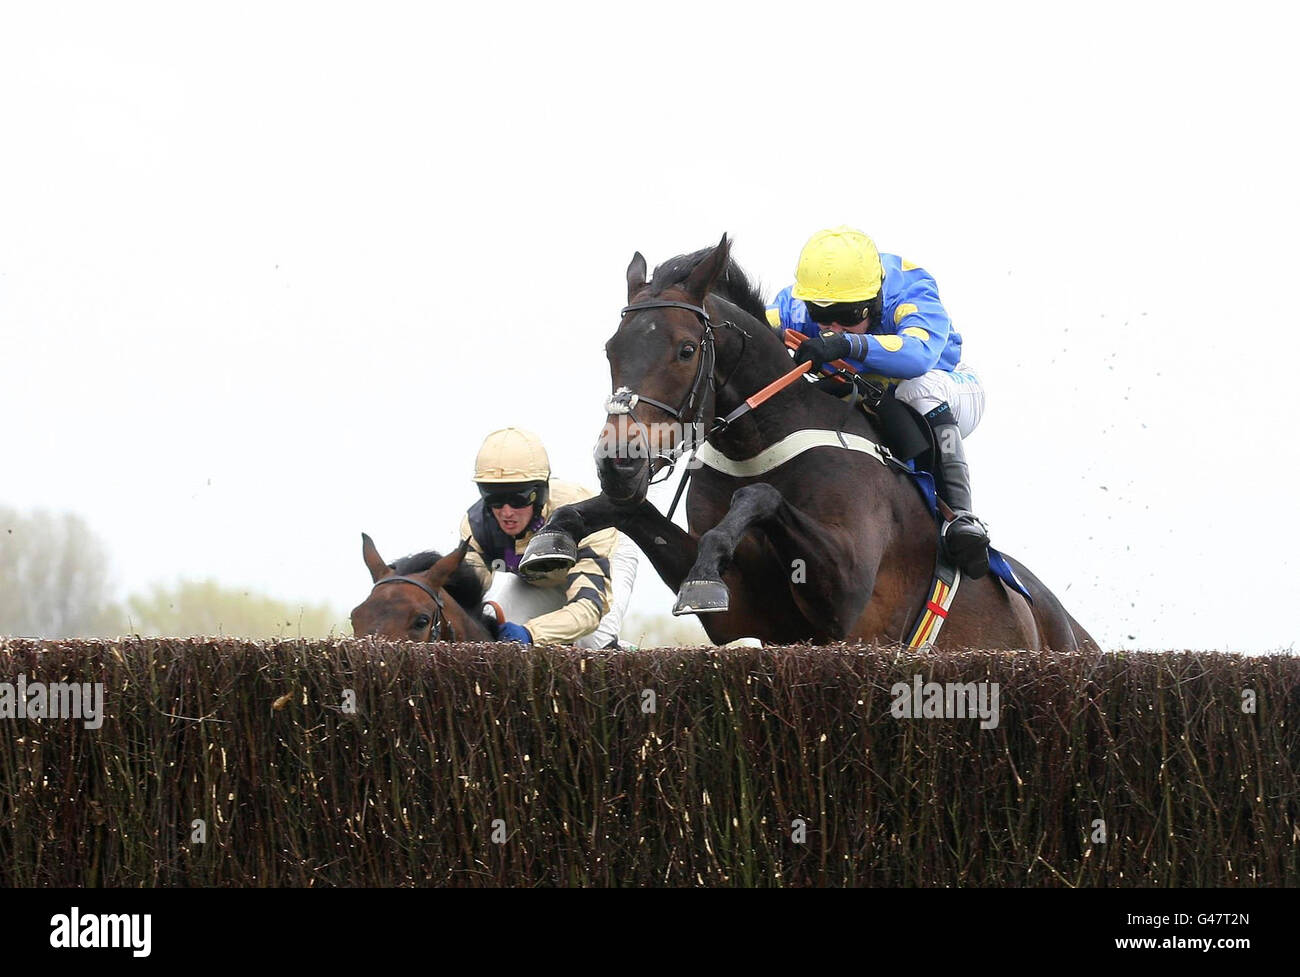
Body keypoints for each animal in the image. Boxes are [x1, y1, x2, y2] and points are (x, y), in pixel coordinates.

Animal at [517, 233, 1097, 652]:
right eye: (610, 349)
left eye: (685, 349)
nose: (618, 463)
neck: (759, 445)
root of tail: (1074, 630)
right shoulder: (751, 612)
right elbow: (631, 511)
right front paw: (554, 535)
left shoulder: (848, 597)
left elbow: (761, 496)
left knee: (928, 388)